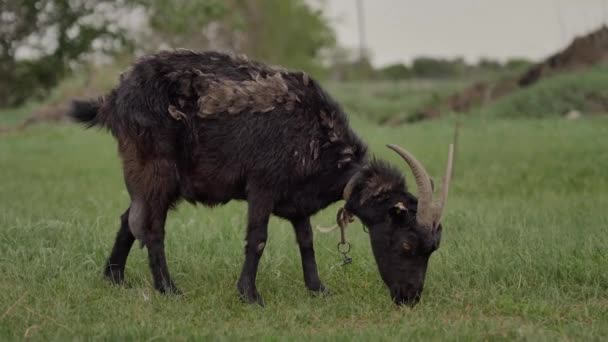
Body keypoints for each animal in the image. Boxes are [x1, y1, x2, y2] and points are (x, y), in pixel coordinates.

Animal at [70, 50, 452, 308]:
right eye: (406, 244)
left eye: (433, 248)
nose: (410, 298)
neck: (315, 136)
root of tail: (114, 98)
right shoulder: (262, 187)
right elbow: (258, 239)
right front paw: (250, 296)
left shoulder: (297, 202)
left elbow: (307, 241)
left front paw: (318, 289)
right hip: (157, 170)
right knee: (151, 228)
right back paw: (168, 289)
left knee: (129, 219)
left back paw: (114, 278)